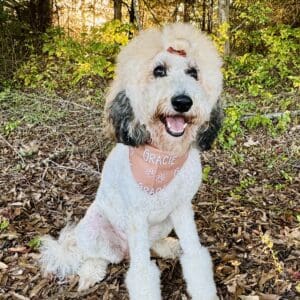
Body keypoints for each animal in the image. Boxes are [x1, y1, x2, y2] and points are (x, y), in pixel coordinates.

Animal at [39, 23, 223, 300]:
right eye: (159, 71)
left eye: (193, 72)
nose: (182, 102)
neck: (162, 156)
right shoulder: (137, 217)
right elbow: (142, 274)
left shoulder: (181, 208)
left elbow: (195, 256)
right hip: (94, 230)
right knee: (97, 257)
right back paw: (90, 274)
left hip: (163, 223)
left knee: (151, 244)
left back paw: (167, 246)